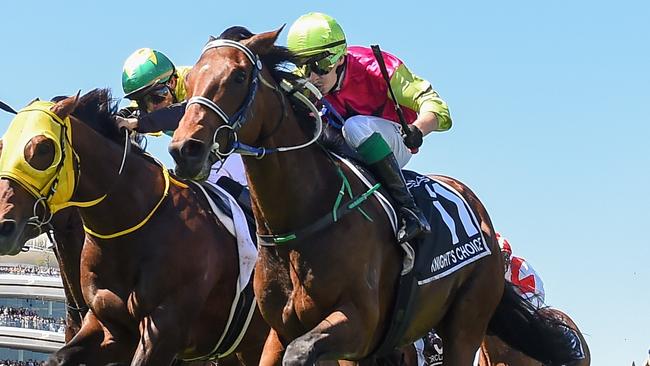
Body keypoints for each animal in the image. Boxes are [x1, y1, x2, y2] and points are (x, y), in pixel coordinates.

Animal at [0, 89, 266, 366]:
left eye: (44, 147)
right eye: (2, 146)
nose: (3, 226)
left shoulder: (165, 328)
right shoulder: (109, 327)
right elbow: (58, 358)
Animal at [167, 26, 584, 366]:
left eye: (239, 75)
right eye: (192, 80)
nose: (185, 150)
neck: (305, 218)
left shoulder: (358, 323)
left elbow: (301, 353)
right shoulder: (278, 331)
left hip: (466, 324)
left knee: (362, 126)